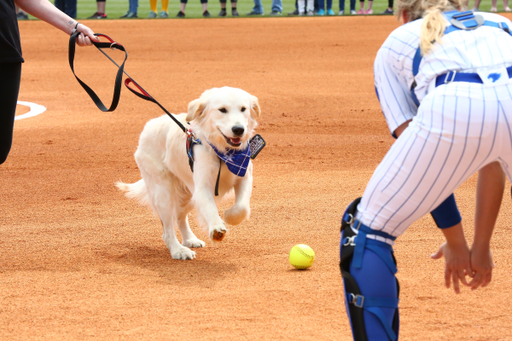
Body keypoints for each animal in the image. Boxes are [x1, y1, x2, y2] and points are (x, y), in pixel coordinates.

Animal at [116, 86, 260, 258]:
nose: (238, 129)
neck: (225, 154)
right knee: (168, 230)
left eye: (243, 109)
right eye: (222, 110)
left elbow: (242, 207)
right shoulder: (202, 188)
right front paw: (217, 228)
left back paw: (190, 240)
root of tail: (146, 128)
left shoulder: (244, 177)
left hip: (187, 195)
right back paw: (179, 250)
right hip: (164, 193)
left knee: (179, 217)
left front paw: (230, 217)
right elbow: (210, 209)